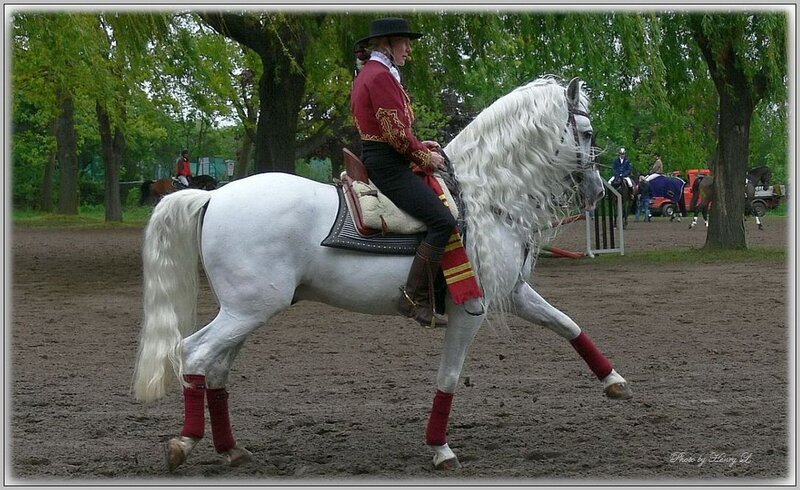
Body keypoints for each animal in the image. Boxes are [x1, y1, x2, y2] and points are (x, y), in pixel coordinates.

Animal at [133, 77, 632, 472]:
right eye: (586, 131)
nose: (597, 191)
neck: (485, 196)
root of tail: (213, 196)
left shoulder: (512, 293)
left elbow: (567, 324)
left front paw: (613, 381)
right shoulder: (471, 309)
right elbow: (449, 377)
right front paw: (440, 448)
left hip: (245, 312)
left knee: (216, 367)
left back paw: (231, 450)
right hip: (248, 311)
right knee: (194, 354)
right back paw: (185, 443)